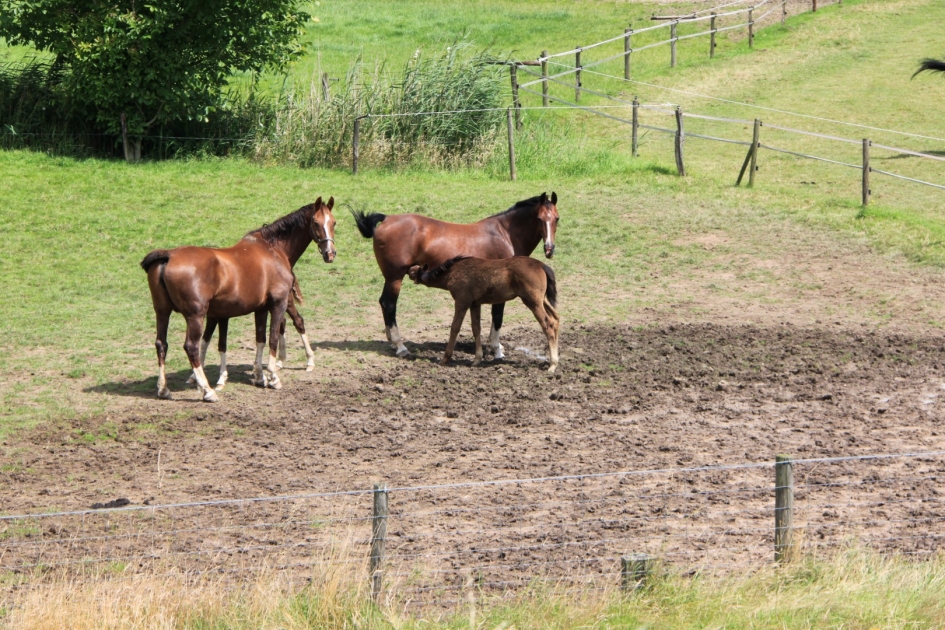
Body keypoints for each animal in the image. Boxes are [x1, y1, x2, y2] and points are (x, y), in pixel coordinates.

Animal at [140, 197, 337, 402]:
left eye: (334, 222)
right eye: (316, 223)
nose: (330, 254)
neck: (273, 249)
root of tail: (168, 256)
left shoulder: (260, 308)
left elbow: (260, 339)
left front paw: (259, 376)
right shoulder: (278, 304)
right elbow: (273, 338)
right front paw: (273, 377)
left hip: (162, 312)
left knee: (161, 344)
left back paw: (164, 389)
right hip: (196, 316)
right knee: (191, 347)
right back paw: (207, 390)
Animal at [352, 192, 560, 358]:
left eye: (556, 218)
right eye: (539, 218)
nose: (549, 248)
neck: (504, 234)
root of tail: (386, 219)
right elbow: (498, 316)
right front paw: (497, 349)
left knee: (384, 303)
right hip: (395, 278)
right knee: (389, 304)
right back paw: (400, 346)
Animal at [408, 256, 560, 372]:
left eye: (415, 271)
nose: (409, 269)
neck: (452, 272)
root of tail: (542, 265)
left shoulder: (462, 302)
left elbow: (455, 328)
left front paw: (445, 358)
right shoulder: (475, 304)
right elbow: (476, 328)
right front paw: (477, 359)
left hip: (532, 302)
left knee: (548, 324)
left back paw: (552, 364)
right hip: (542, 300)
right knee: (556, 319)